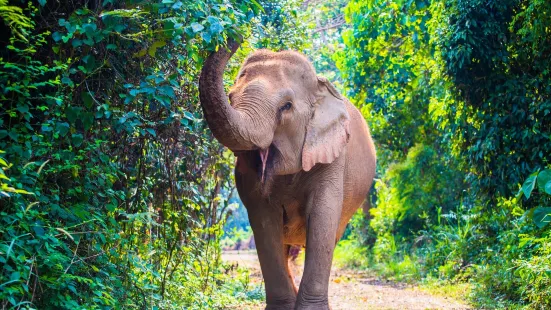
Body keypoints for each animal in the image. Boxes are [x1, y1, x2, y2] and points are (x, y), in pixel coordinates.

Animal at [201, 39, 378, 310]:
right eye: (230, 97)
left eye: (286, 106)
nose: (235, 37)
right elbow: (264, 221)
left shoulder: (333, 156)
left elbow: (323, 218)